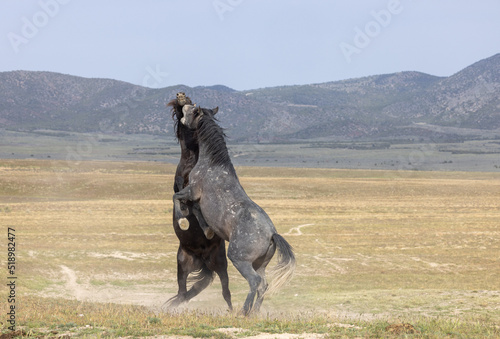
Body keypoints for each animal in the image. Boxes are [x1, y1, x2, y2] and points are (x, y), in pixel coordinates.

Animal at [166, 94, 232, 312]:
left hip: (221, 265)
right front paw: (184, 220)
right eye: (181, 110)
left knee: (226, 292)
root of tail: (202, 261)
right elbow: (186, 203)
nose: (181, 96)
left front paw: (206, 228)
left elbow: (196, 206)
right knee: (182, 293)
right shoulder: (180, 188)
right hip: (182, 266)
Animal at [173, 104, 294, 316]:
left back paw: (244, 312)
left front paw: (182, 219)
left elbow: (179, 199)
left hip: (239, 259)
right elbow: (194, 208)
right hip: (259, 263)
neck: (211, 164)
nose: (183, 109)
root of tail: (272, 234)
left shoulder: (193, 191)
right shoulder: (196, 197)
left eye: (192, 110)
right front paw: (207, 229)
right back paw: (254, 312)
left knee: (254, 282)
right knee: (263, 285)